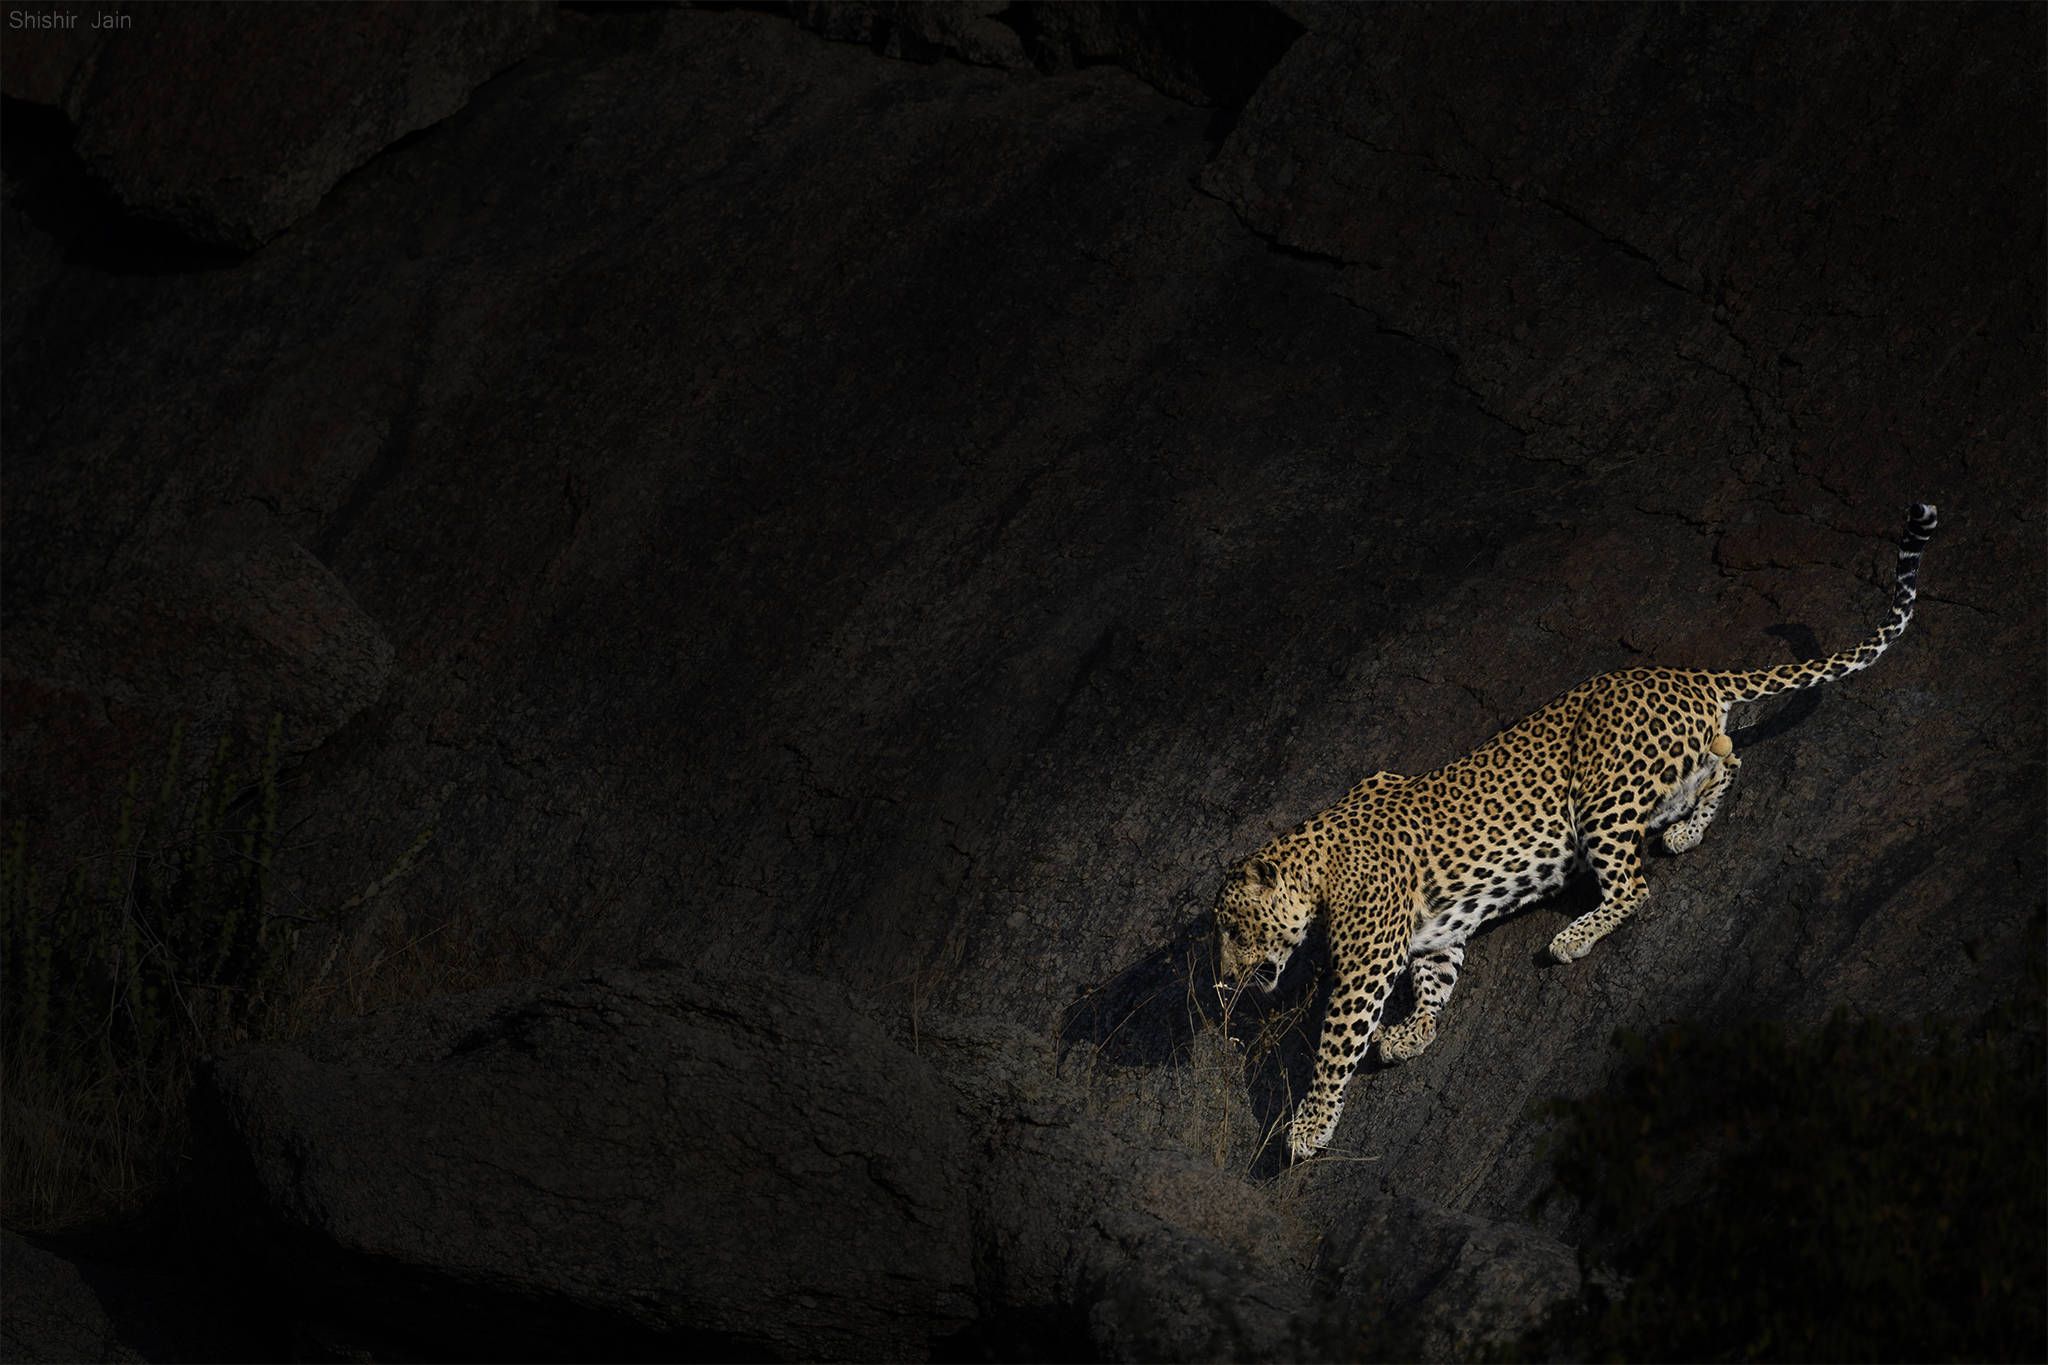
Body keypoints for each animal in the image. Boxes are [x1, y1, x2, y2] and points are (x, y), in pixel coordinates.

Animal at [1212, 501, 1933, 1162]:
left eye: (1238, 931)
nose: (1223, 984)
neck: (1314, 864)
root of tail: (1683, 673)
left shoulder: (1366, 963)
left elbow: (1335, 1044)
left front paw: (1308, 1126)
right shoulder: (1435, 934)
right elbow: (1436, 983)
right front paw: (1413, 1033)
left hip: (1602, 797)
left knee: (1636, 884)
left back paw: (1574, 935)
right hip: (1665, 776)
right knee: (1727, 756)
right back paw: (1688, 832)